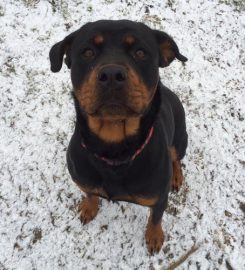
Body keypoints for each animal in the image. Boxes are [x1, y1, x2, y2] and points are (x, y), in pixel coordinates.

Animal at [49, 20, 188, 254]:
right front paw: (89, 207)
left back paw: (177, 176)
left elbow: (156, 218)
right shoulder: (83, 179)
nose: (112, 74)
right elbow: (89, 193)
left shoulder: (159, 198)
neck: (114, 148)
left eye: (140, 52)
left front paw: (154, 236)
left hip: (180, 138)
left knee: (176, 156)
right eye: (87, 52)